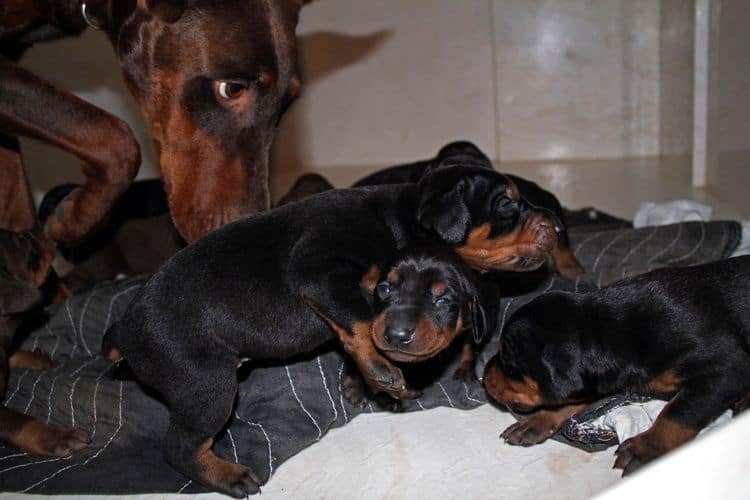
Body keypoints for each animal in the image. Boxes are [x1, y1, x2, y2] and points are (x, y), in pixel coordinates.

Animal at [484, 258, 750, 476]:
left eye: (508, 365)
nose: (484, 375)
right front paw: (535, 422)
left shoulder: (727, 369)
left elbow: (678, 413)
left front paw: (646, 447)